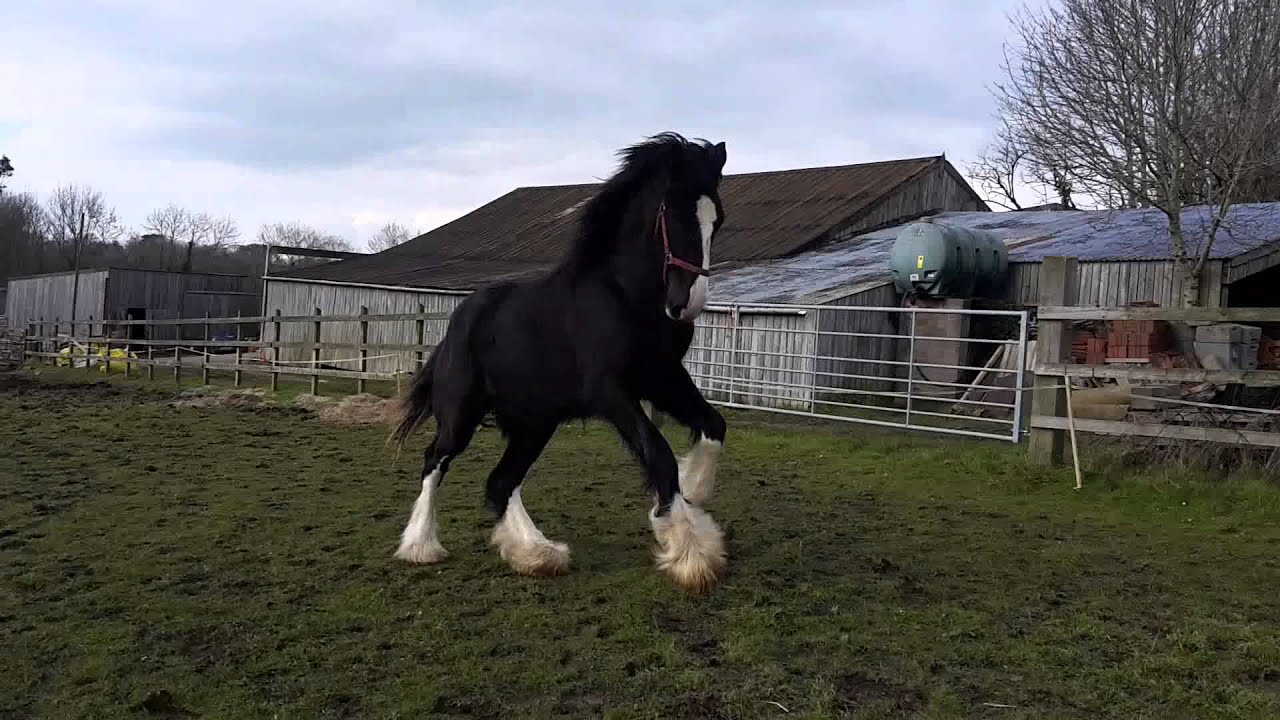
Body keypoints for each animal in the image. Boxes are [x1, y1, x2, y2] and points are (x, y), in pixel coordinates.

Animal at [388, 132, 731, 594]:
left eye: (718, 219)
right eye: (672, 212)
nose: (684, 304)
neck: (624, 296)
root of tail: (459, 320)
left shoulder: (662, 378)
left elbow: (713, 426)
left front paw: (691, 495)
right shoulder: (609, 390)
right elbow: (657, 455)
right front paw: (690, 554)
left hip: (536, 422)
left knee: (501, 481)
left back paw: (536, 554)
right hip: (462, 414)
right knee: (435, 460)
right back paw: (421, 546)